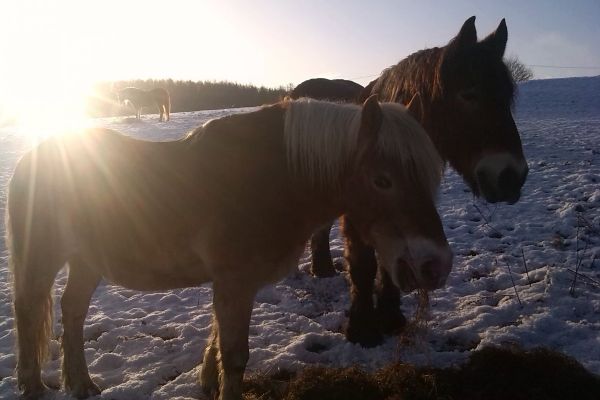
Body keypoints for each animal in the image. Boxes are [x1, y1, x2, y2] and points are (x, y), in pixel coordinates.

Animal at [8, 96, 450, 400]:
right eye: (382, 180)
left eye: (430, 176)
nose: (436, 265)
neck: (271, 179)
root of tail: (33, 157)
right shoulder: (235, 281)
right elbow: (235, 355)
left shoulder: (233, 283)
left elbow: (217, 340)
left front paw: (206, 382)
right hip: (43, 258)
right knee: (30, 312)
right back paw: (34, 386)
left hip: (87, 259)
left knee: (73, 310)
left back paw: (81, 384)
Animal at [298, 16, 528, 346]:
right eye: (469, 94)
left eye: (507, 97)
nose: (512, 177)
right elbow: (363, 265)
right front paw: (362, 329)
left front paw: (391, 318)